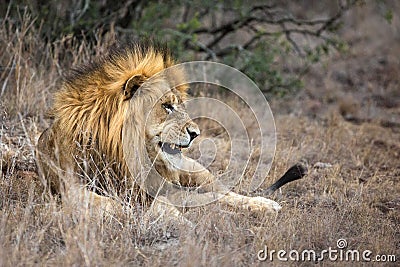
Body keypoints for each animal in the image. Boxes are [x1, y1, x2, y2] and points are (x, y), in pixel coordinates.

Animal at [37, 39, 306, 223]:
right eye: (166, 106)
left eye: (180, 105)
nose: (196, 133)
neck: (121, 153)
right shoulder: (69, 186)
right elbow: (108, 205)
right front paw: (127, 213)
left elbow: (166, 204)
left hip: (197, 170)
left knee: (225, 193)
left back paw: (263, 204)